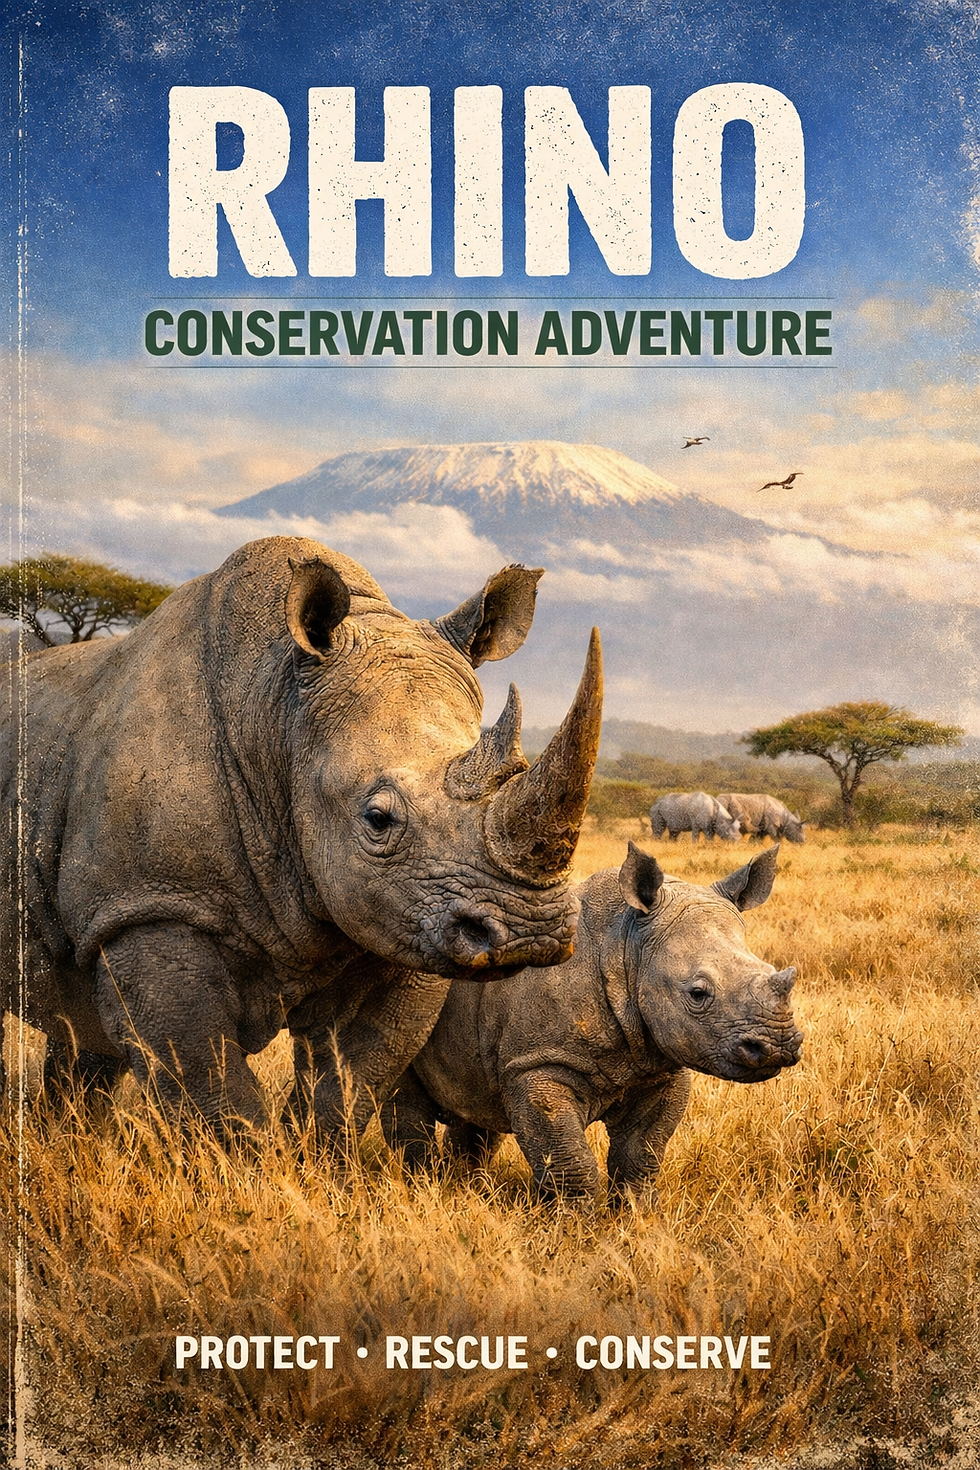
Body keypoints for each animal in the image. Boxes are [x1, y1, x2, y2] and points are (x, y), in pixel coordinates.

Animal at [0, 536, 603, 1142]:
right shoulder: (148, 903)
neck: (277, 718)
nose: (531, 933)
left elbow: (351, 1078)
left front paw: (311, 1159)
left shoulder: (396, 916)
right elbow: (210, 1086)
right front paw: (246, 1163)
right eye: (377, 819)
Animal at [382, 843, 802, 1203]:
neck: (627, 948)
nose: (776, 1045)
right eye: (697, 994)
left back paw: (465, 1186)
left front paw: (635, 1217)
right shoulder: (537, 1065)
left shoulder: (659, 1066)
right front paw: (573, 1228)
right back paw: (421, 1187)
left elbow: (640, 1156)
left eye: (770, 969)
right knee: (408, 1107)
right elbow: (570, 1162)